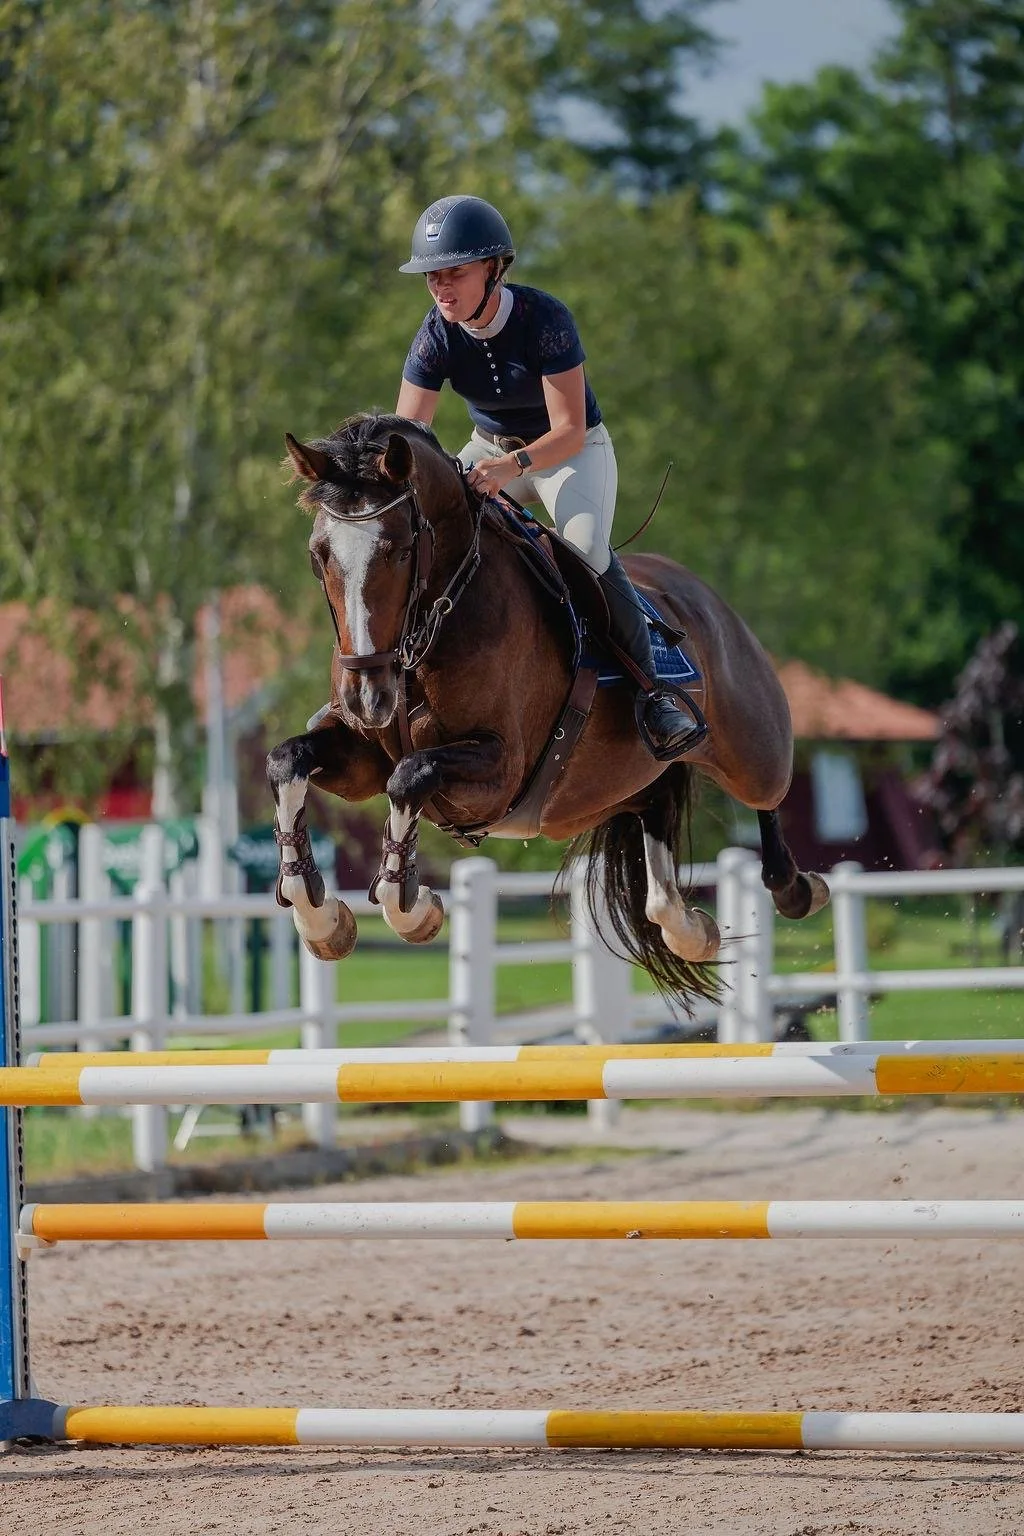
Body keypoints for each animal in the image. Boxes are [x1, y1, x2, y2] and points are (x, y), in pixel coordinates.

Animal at [267, 412, 829, 1012]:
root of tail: (702, 594)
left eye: (397, 550)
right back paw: (691, 930)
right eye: (319, 555)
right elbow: (288, 761)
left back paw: (796, 889)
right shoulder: (363, 756)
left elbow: (410, 777)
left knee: (767, 797)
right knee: (655, 826)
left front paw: (413, 911)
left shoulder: (499, 772)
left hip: (752, 747)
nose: (365, 698)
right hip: (614, 784)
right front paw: (321, 918)